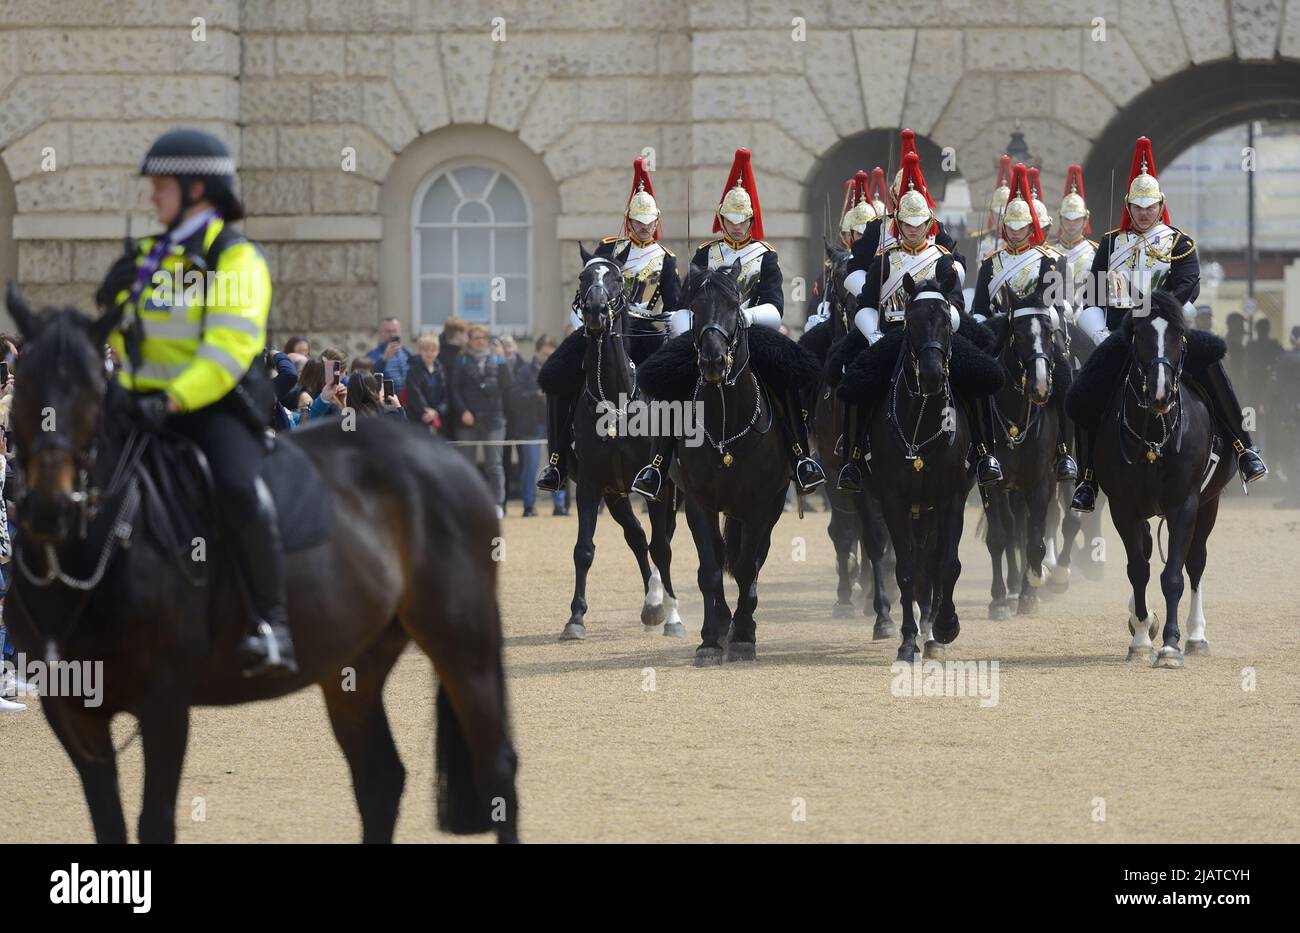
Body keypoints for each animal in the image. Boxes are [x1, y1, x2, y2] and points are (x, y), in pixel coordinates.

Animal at [2, 283, 517, 842]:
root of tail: (450, 459)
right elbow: (110, 825)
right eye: (24, 385)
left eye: (95, 389)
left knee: (496, 767)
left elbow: (155, 821)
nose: (50, 507)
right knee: (381, 780)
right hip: (354, 662)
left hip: (460, 643)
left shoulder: (164, 703)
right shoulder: (74, 715)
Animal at [538, 244, 681, 647]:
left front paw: (673, 616)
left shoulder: (658, 487)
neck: (615, 398)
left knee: (661, 540)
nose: (597, 312)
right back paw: (651, 602)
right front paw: (575, 618)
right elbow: (584, 550)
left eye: (617, 278)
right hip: (616, 493)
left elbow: (663, 547)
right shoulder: (591, 483)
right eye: (583, 277)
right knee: (637, 537)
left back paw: (665, 603)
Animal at [1071, 296, 1232, 670]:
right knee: (1147, 553)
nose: (1160, 394)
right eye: (1139, 336)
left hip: (1209, 503)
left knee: (1196, 562)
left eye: (1178, 336)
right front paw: (1142, 637)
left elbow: (1173, 575)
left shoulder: (1184, 504)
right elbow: (1138, 570)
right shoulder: (1123, 508)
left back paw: (1196, 636)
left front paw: (1171, 647)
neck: (1154, 434)